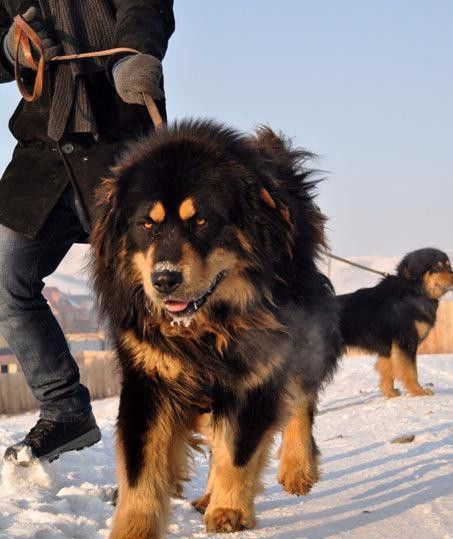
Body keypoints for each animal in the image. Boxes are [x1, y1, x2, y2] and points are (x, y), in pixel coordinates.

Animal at [91, 122, 340, 539]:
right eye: (146, 225)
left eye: (202, 221)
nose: (164, 279)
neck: (208, 326)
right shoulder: (148, 380)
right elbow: (141, 469)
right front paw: (134, 529)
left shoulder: (257, 371)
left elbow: (238, 449)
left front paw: (230, 509)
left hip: (305, 330)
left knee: (300, 399)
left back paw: (296, 468)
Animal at [338, 251, 450, 398]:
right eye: (437, 267)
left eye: (449, 266)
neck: (414, 293)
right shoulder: (406, 341)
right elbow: (410, 370)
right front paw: (418, 391)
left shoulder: (387, 348)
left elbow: (388, 371)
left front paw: (390, 393)